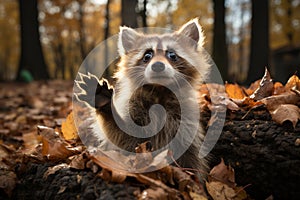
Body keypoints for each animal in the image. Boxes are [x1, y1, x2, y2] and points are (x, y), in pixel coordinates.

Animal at [94, 18, 211, 174]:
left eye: (172, 55)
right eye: (147, 56)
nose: (158, 66)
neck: (159, 91)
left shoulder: (187, 125)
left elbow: (192, 160)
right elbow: (122, 137)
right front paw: (108, 109)